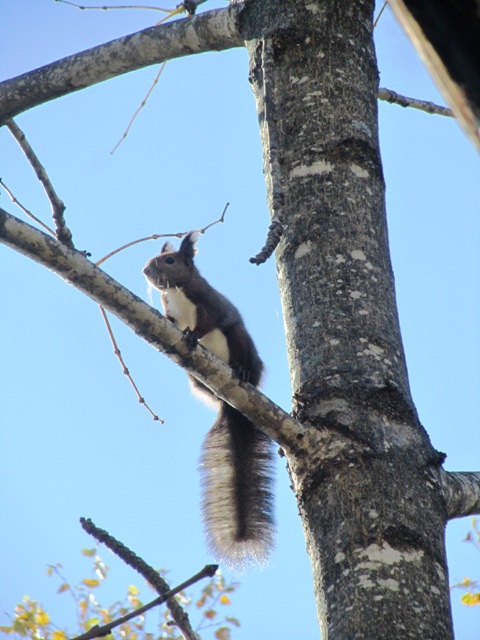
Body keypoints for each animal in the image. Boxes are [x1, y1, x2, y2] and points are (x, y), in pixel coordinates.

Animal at [142, 232, 276, 568]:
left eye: (169, 260)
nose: (145, 271)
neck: (176, 291)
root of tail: (233, 405)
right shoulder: (171, 312)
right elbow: (170, 320)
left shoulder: (209, 304)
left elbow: (207, 323)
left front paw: (193, 335)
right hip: (193, 378)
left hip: (239, 339)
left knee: (242, 354)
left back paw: (242, 371)